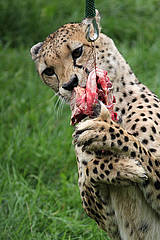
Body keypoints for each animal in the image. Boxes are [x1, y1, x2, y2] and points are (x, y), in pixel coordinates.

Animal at [30, 11, 160, 240]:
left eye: (77, 51)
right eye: (49, 71)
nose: (69, 84)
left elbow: (139, 150)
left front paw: (105, 132)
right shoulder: (104, 219)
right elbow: (92, 169)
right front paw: (122, 167)